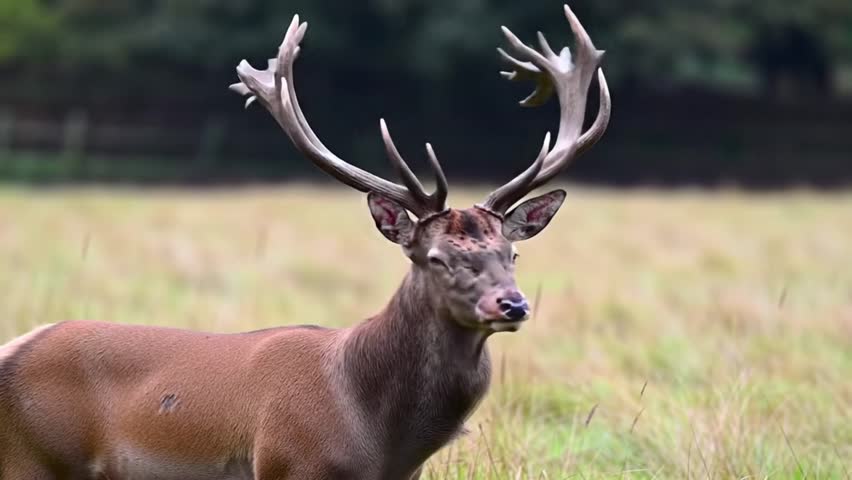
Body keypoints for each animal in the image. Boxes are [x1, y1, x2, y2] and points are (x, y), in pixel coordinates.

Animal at [0, 5, 610, 479]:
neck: (380, 441)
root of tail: (11, 349)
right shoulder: (287, 464)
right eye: (436, 258)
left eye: (512, 253)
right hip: (31, 461)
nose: (513, 304)